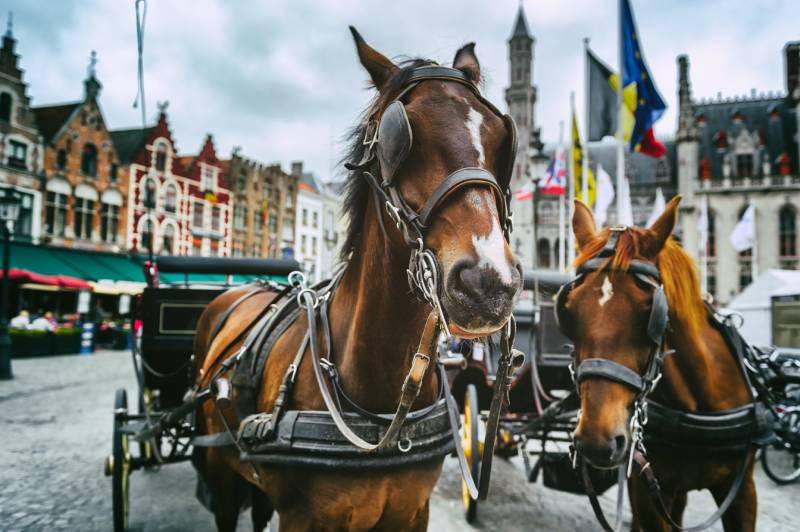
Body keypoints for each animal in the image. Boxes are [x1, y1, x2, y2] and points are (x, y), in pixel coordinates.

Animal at [191, 27, 521, 531]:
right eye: (396, 137)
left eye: (503, 136)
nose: (488, 284)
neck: (381, 413)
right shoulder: (300, 517)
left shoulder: (412, 512)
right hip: (222, 473)